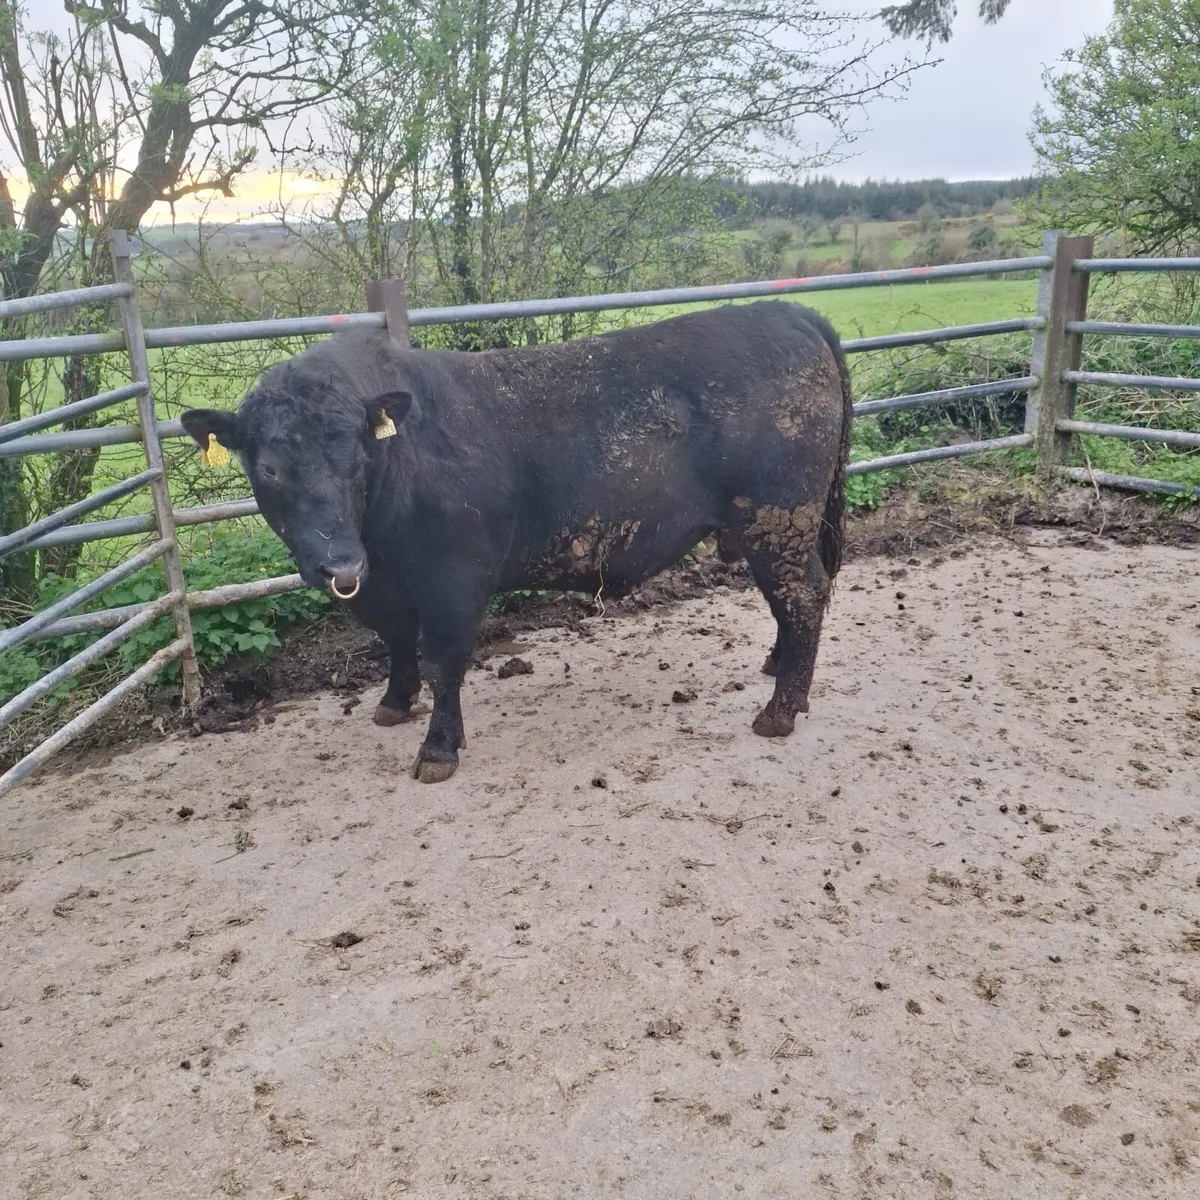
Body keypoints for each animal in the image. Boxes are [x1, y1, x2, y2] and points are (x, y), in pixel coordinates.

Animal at [181, 300, 852, 783]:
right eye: (269, 469)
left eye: (358, 455)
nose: (338, 563)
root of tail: (787, 311)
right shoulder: (385, 586)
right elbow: (396, 644)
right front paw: (394, 704)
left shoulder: (455, 576)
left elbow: (442, 659)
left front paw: (438, 750)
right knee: (792, 599)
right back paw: (777, 668)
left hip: (777, 517)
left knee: (803, 594)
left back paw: (780, 710)